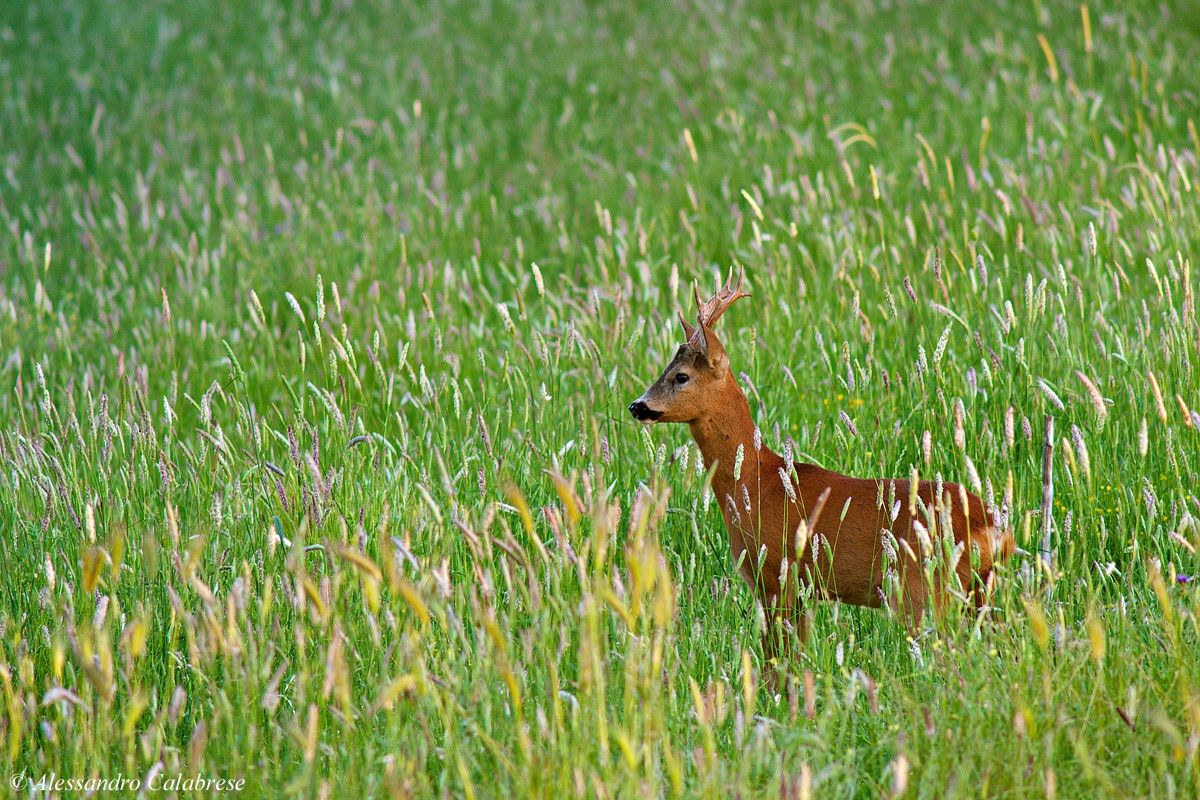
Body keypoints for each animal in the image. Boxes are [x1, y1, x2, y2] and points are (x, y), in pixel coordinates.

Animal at [629, 270, 1014, 669]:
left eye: (681, 376)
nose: (637, 406)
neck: (754, 480)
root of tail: (994, 526)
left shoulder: (776, 576)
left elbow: (775, 664)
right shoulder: (800, 590)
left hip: (922, 588)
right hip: (982, 591)